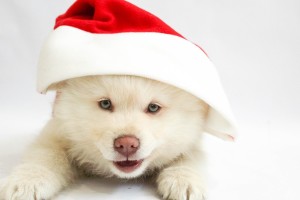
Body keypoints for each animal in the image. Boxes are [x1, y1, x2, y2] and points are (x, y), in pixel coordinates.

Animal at [0, 75, 209, 200]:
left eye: (153, 107)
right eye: (105, 104)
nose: (127, 145)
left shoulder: (192, 137)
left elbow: (189, 156)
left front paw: (183, 181)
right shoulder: (58, 130)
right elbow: (45, 155)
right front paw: (27, 182)